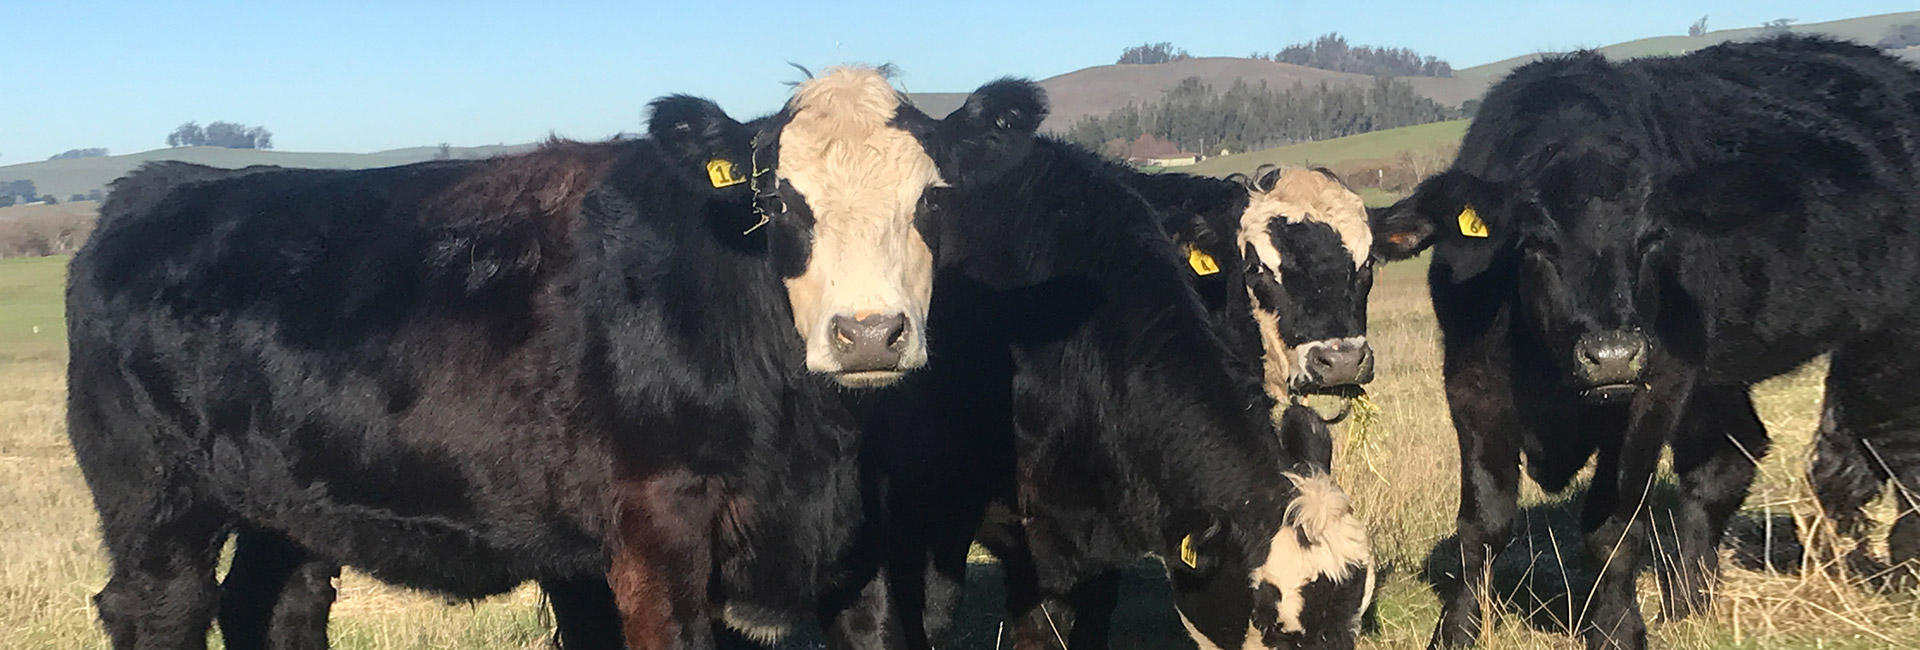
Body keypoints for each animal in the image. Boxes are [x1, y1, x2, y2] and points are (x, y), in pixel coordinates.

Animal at [60, 86, 1029, 650]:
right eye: (778, 201)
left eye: (932, 199)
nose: (868, 334)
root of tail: (157, 184)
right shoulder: (658, 538)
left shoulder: (868, 546)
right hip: (155, 497)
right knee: (159, 607)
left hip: (288, 496)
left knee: (272, 605)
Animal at [1367, 34, 1920, 650]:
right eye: (1534, 242)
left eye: (1654, 238)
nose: (1612, 356)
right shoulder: (1471, 381)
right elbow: (1484, 521)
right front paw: (1459, 629)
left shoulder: (1659, 386)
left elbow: (1612, 525)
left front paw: (1616, 628)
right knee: (1730, 461)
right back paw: (1691, 602)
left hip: (1892, 342)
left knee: (1895, 456)